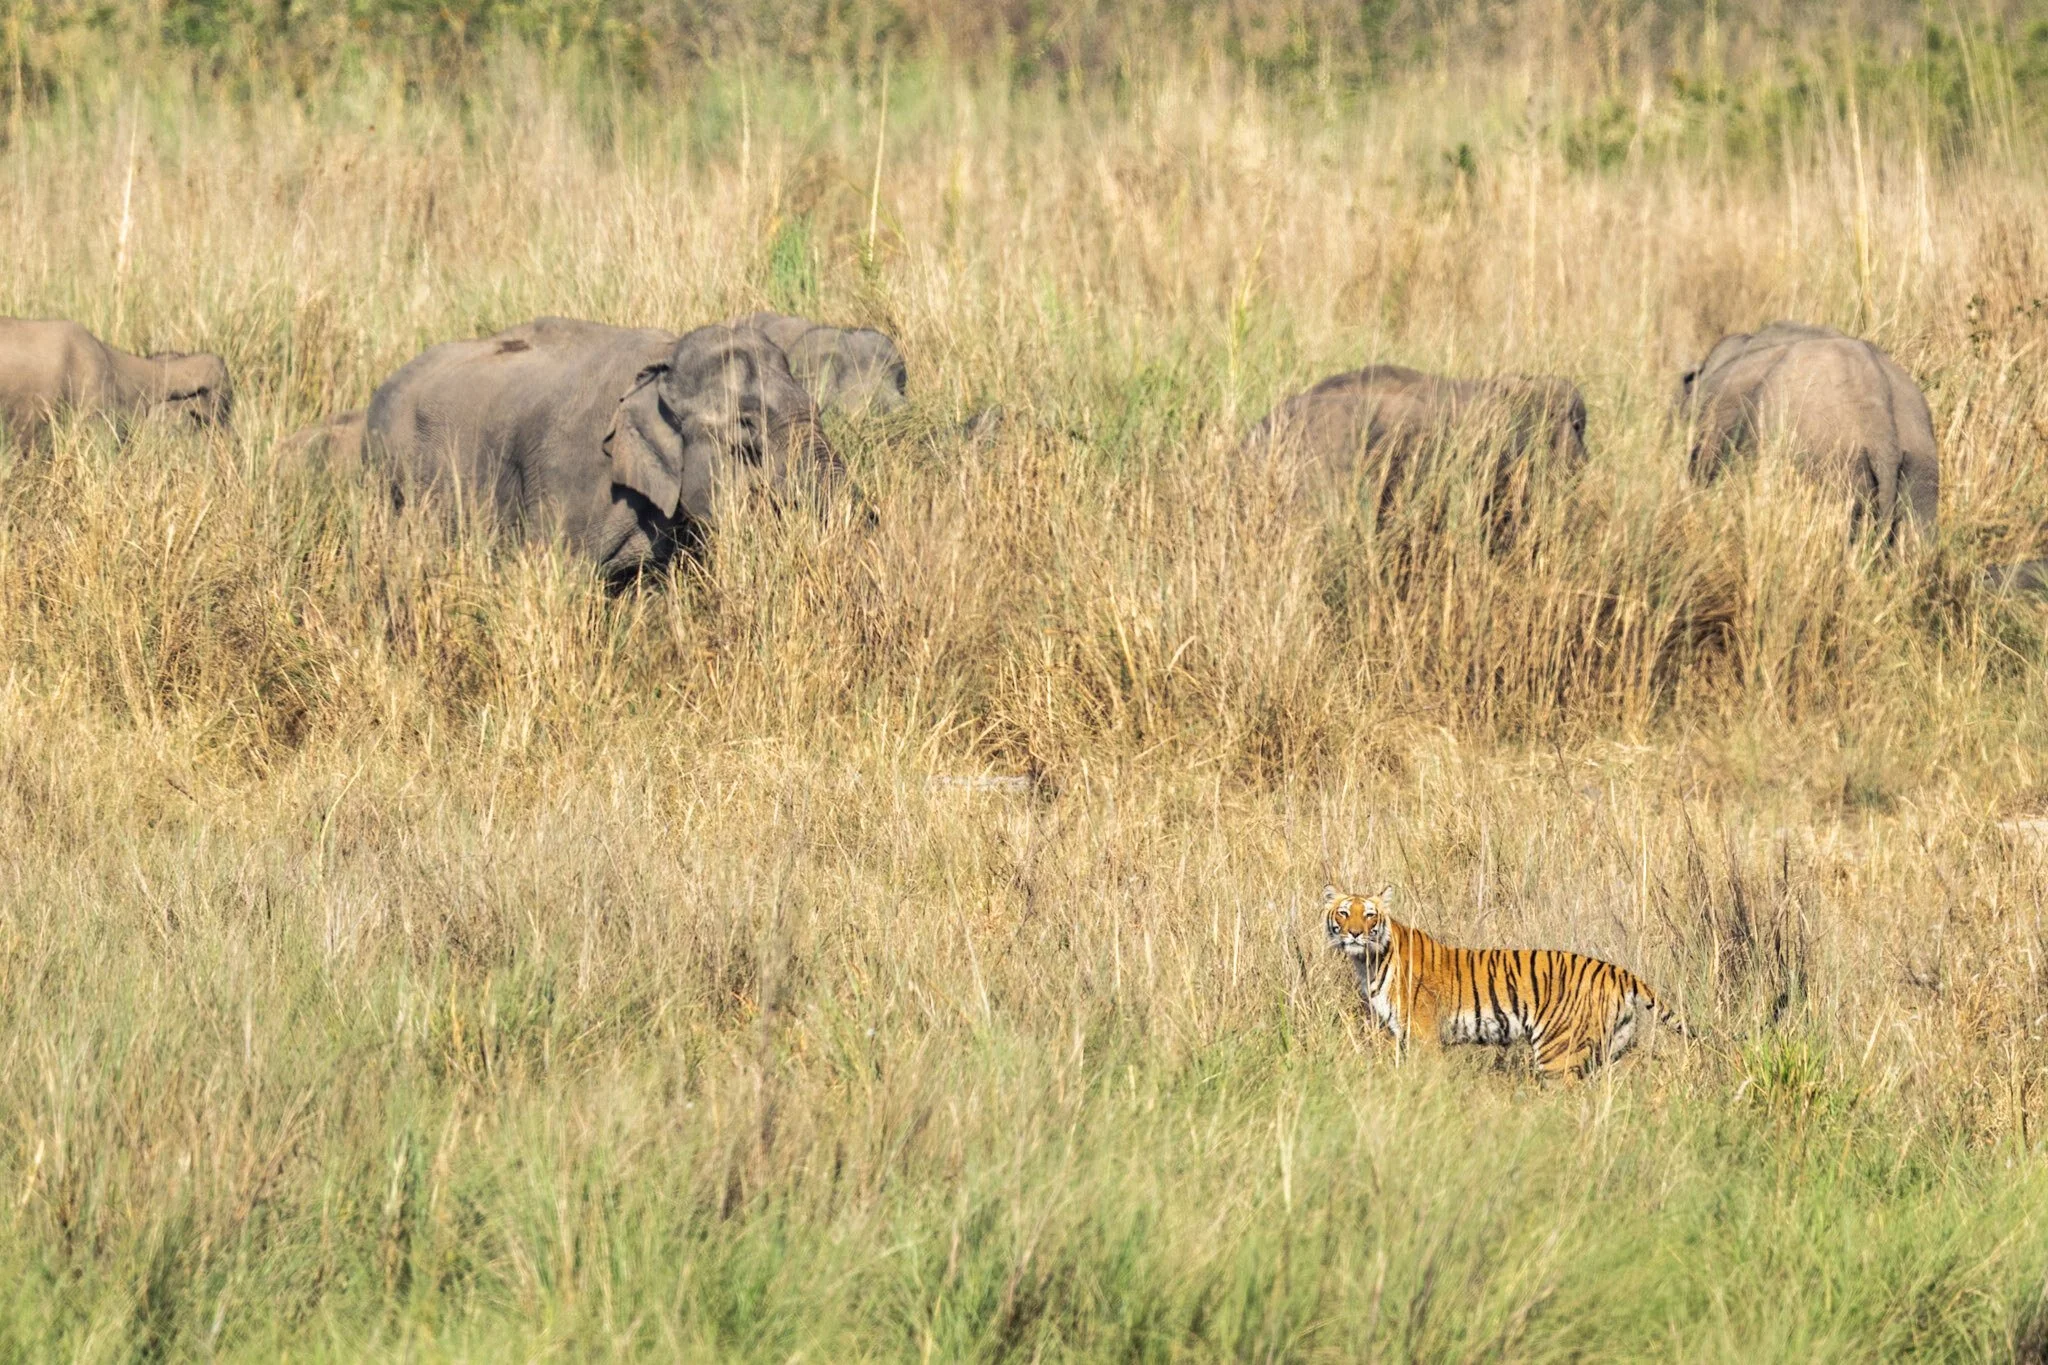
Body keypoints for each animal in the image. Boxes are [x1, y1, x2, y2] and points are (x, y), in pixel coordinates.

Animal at [1323, 884, 1690, 1077]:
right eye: (1344, 912)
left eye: (1370, 915)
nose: (1354, 933)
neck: (1368, 961)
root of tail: (1618, 970)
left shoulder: (1423, 1035)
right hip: (1611, 1048)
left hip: (1558, 1052)